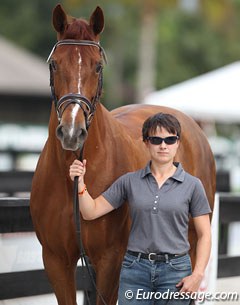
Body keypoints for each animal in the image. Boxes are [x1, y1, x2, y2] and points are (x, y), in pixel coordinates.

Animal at [30, 4, 216, 304]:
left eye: (97, 66)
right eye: (54, 63)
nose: (72, 132)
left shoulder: (111, 260)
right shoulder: (56, 260)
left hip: (193, 244)